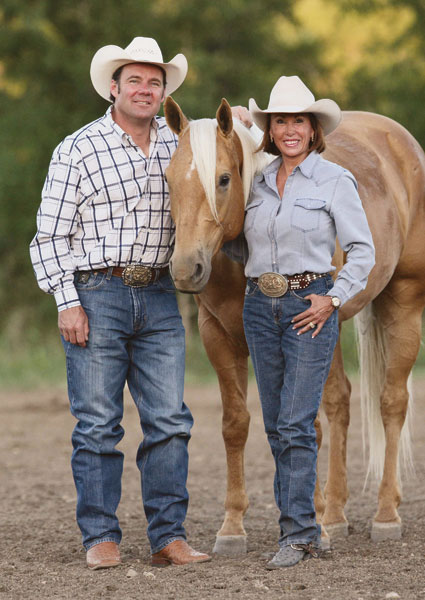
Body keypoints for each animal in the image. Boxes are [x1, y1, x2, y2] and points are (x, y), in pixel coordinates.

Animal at [162, 96, 424, 556]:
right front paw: (233, 527)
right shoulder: (218, 338)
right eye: (169, 180)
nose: (185, 269)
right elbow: (236, 425)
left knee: (392, 403)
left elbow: (306, 427)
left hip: (404, 304)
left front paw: (311, 525)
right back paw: (336, 515)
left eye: (223, 179)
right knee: (340, 402)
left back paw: (385, 514)